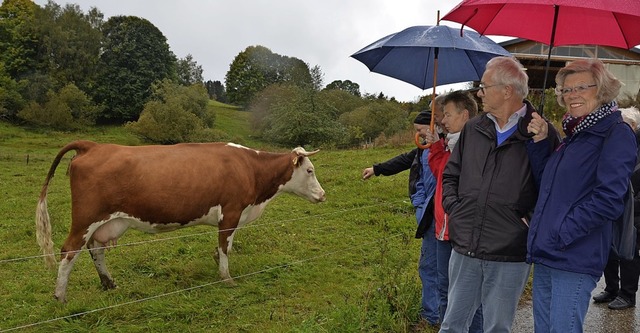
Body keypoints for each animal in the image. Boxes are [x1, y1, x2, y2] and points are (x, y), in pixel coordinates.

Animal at [35, 140, 324, 300]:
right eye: (310, 170)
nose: (323, 195)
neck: (250, 169)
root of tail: (93, 145)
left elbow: (225, 246)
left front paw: (218, 264)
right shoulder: (231, 212)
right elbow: (225, 246)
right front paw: (226, 277)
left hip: (106, 222)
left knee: (96, 250)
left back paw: (109, 284)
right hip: (85, 218)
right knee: (69, 251)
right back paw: (60, 296)